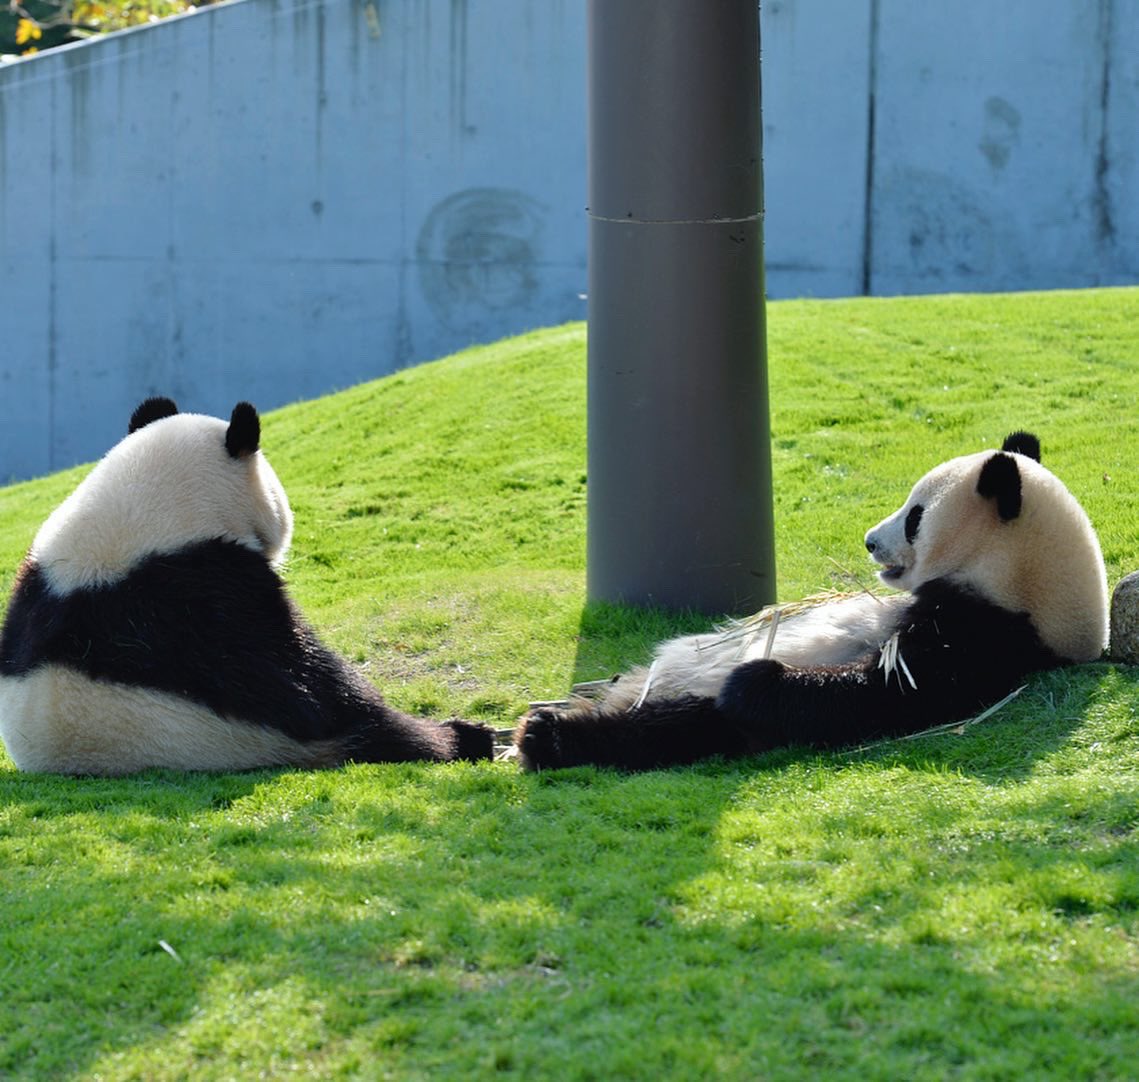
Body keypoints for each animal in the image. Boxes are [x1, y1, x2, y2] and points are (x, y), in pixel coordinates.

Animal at [515, 431, 1108, 772]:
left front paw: (754, 679)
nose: (869, 541)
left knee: (669, 728)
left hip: (690, 712)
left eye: (915, 516)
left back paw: (548, 736)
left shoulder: (986, 635)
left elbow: (882, 690)